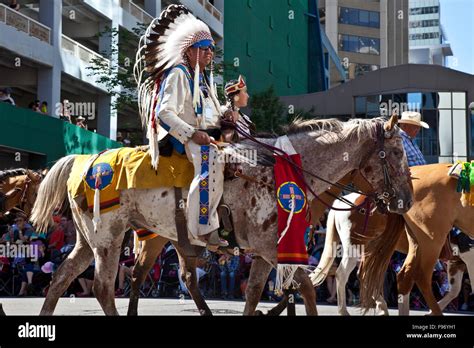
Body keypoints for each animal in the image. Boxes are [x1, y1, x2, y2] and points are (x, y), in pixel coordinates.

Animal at [360, 163, 474, 316]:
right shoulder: (468, 257)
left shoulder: (458, 262)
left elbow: (454, 291)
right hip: (431, 240)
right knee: (420, 276)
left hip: (414, 242)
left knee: (403, 276)